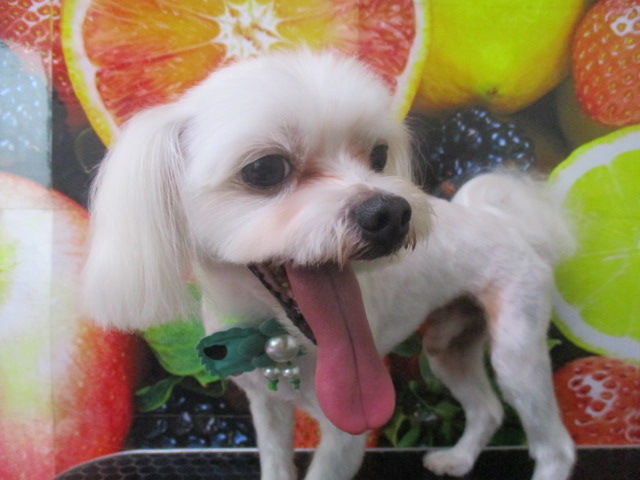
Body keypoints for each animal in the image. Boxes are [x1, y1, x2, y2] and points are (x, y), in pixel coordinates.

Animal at [83, 49, 576, 480]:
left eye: (378, 155)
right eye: (265, 169)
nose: (390, 214)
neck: (274, 338)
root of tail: (502, 219)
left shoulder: (349, 426)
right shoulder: (266, 408)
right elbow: (275, 463)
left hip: (516, 349)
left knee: (556, 445)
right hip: (448, 345)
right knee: (486, 409)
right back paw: (457, 459)